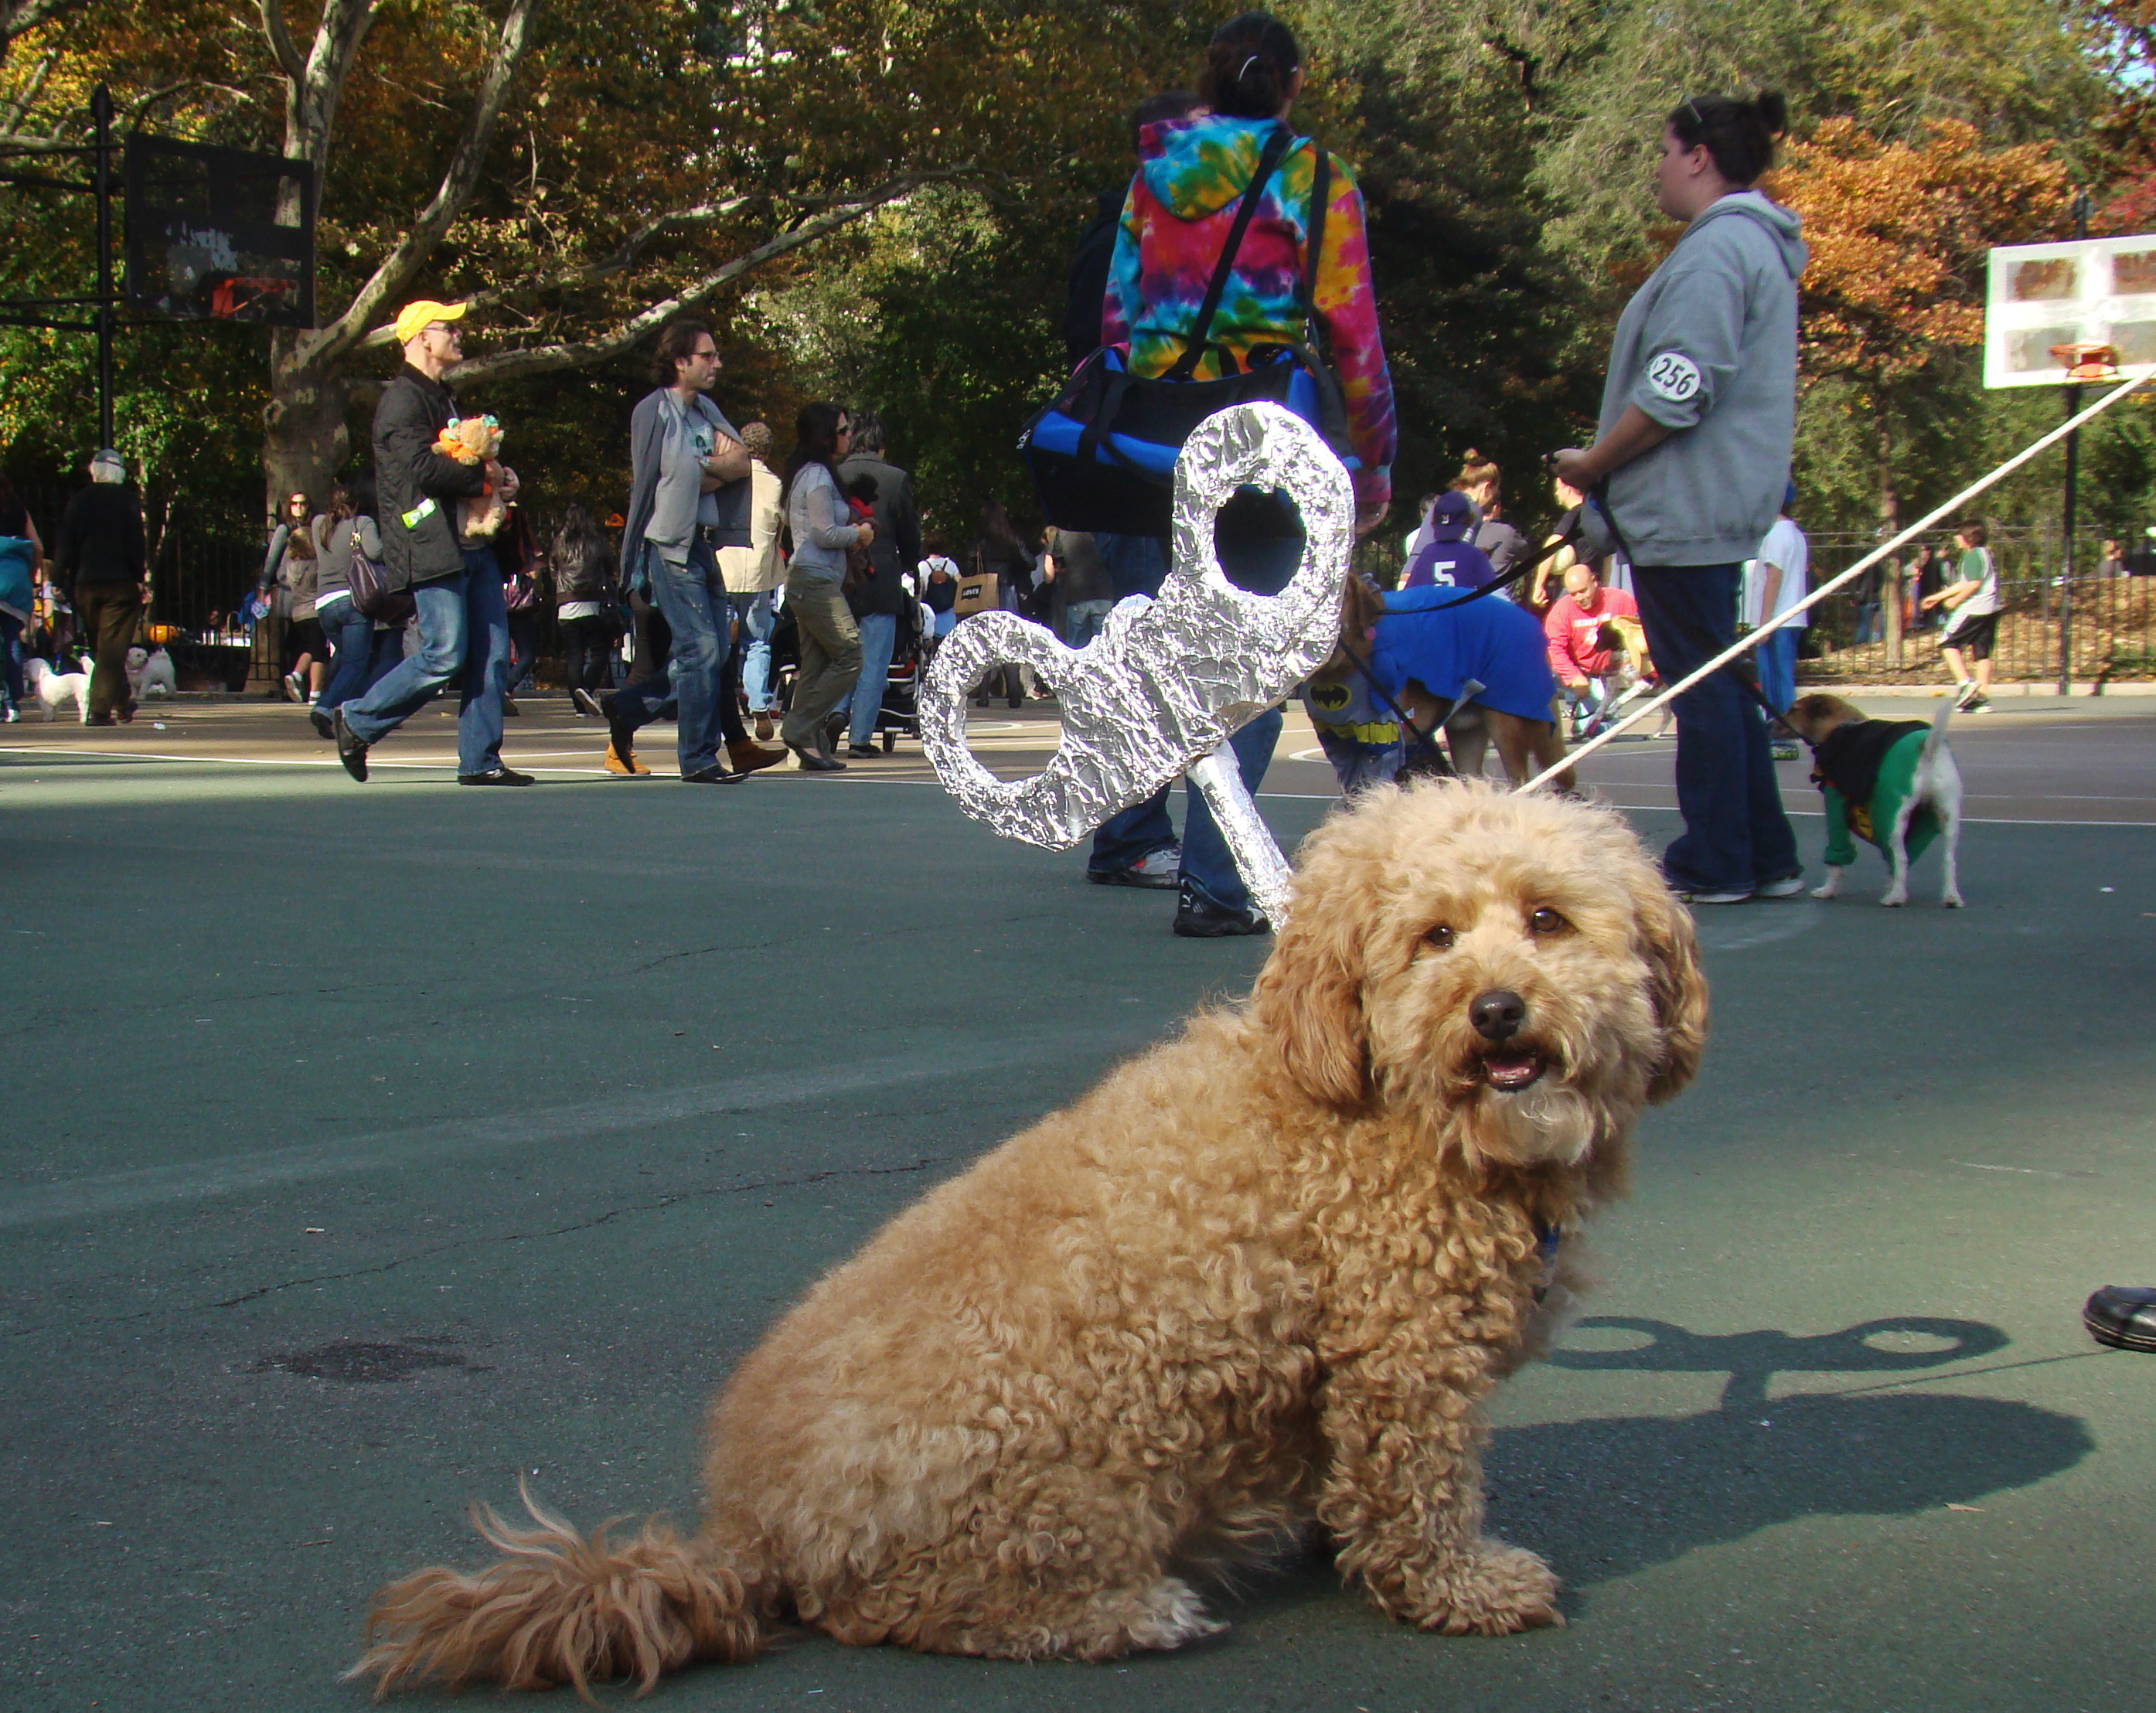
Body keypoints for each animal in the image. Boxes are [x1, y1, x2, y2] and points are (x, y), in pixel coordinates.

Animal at [349, 784, 1698, 1698]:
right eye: (1432, 938)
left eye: (1546, 920)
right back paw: (1133, 1612)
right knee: (913, 1608)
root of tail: (750, 1533)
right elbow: (1421, 1495)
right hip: (1072, 1469)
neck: (1378, 1105)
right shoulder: (1405, 1361)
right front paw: (1463, 1589)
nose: (1498, 1010)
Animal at [1776, 698, 1966, 909]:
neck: (1839, 727)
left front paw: (1828, 891)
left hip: (1892, 819)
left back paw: (1896, 897)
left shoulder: (1835, 805)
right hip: (1946, 818)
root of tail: (1927, 747)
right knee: (1947, 860)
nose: (1769, 724)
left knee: (1901, 858)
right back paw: (1950, 897)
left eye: (1794, 710)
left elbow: (1836, 860)